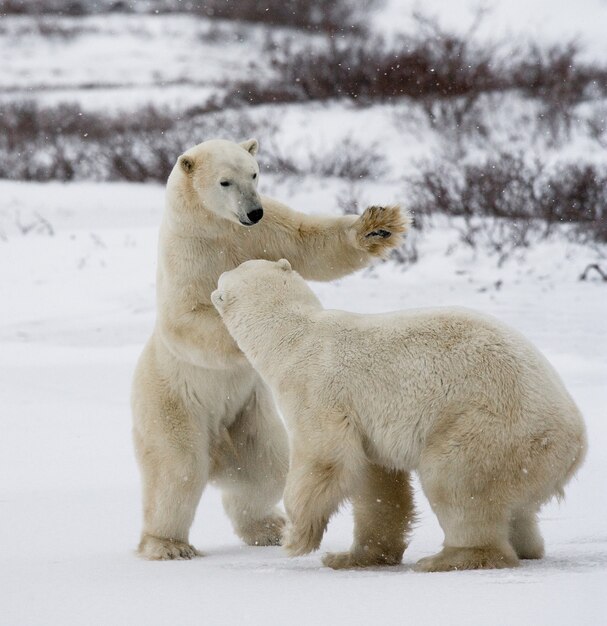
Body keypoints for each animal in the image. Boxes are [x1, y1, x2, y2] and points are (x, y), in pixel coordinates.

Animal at [213, 258, 588, 572]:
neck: (293, 336)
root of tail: (576, 444)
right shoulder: (365, 423)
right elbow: (376, 480)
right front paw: (353, 556)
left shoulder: (316, 390)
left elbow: (325, 458)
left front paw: (296, 538)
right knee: (517, 508)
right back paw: (526, 546)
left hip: (491, 427)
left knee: (454, 480)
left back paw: (449, 557)